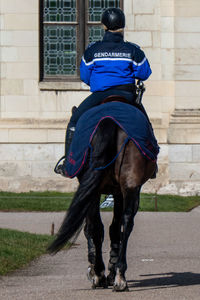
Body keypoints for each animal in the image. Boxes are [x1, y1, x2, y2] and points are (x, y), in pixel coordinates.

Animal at [47, 99, 157, 292]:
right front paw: (109, 272)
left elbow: (92, 229)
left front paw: (97, 272)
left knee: (99, 226)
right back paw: (120, 276)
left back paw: (103, 274)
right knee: (125, 223)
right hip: (129, 187)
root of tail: (108, 120)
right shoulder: (118, 192)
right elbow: (113, 228)